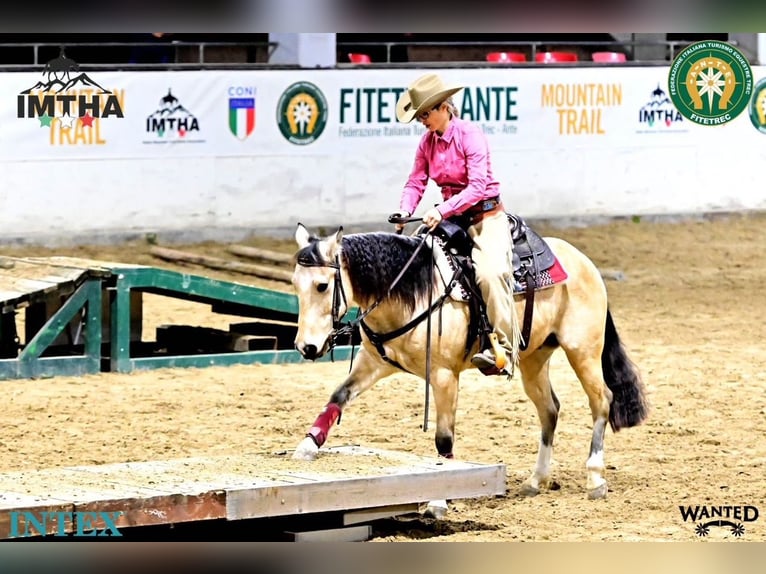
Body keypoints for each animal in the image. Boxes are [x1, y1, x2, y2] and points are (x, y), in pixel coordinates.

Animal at [289, 221, 648, 503]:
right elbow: (338, 396)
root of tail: (584, 262)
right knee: (550, 409)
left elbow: (443, 439)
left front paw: (438, 499)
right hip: (534, 358)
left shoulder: (444, 375)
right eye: (295, 284)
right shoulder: (374, 362)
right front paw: (307, 445)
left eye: (322, 285)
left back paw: (595, 478)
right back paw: (536, 480)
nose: (306, 347)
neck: (412, 289)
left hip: (583, 350)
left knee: (601, 401)